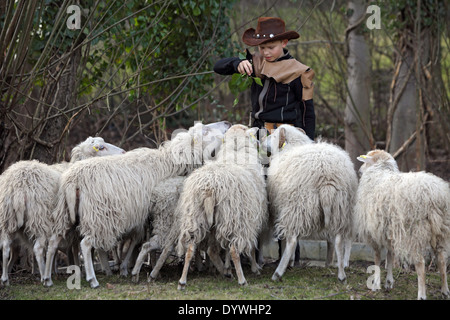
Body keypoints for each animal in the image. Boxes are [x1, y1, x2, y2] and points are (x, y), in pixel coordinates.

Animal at [0, 137, 125, 284]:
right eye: (101, 147)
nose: (123, 152)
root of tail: (18, 184)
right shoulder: (77, 227)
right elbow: (79, 249)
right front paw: (81, 270)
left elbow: (71, 250)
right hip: (39, 218)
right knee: (38, 249)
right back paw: (45, 277)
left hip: (7, 219)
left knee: (6, 248)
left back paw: (5, 279)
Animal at [42, 120, 230, 288]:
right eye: (205, 131)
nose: (227, 123)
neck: (168, 162)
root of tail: (74, 180)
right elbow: (141, 241)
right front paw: (137, 269)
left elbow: (140, 242)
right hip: (100, 217)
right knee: (86, 244)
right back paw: (92, 280)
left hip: (65, 213)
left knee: (53, 241)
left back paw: (47, 279)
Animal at [175, 124, 268, 288]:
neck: (236, 150)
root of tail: (209, 189)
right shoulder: (250, 217)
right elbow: (250, 247)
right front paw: (255, 268)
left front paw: (227, 267)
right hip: (233, 218)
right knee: (233, 250)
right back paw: (241, 280)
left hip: (196, 216)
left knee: (195, 249)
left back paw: (184, 281)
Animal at [264, 124, 358, 282]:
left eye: (274, 135)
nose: (263, 140)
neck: (293, 146)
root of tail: (327, 178)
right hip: (340, 208)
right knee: (338, 240)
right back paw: (340, 274)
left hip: (297, 206)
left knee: (292, 240)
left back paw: (278, 273)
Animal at [354, 150, 448, 300]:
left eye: (366, 161)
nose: (359, 171)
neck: (379, 171)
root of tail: (435, 196)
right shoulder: (389, 231)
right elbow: (390, 255)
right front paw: (389, 282)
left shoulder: (374, 232)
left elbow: (377, 258)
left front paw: (376, 284)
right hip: (441, 230)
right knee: (442, 260)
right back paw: (445, 290)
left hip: (414, 233)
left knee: (420, 263)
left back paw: (421, 294)